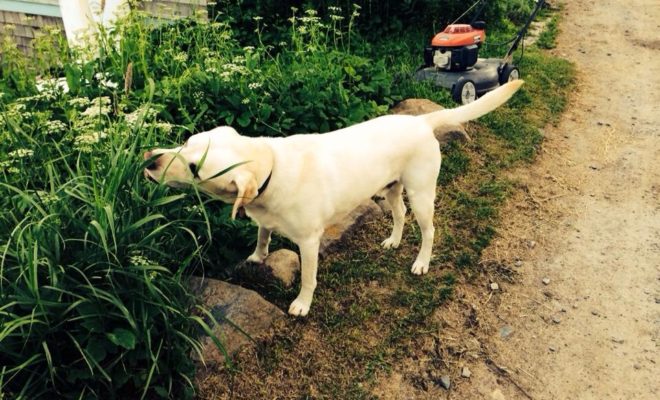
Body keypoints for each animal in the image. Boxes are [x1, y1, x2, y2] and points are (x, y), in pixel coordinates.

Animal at [146, 80, 524, 316]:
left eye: (194, 168)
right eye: (185, 142)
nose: (149, 159)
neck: (272, 168)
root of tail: (420, 122)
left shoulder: (309, 242)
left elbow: (308, 277)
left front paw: (302, 303)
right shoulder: (264, 219)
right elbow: (262, 235)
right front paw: (257, 255)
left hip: (421, 194)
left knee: (429, 230)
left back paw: (421, 262)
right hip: (391, 189)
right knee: (399, 215)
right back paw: (394, 240)